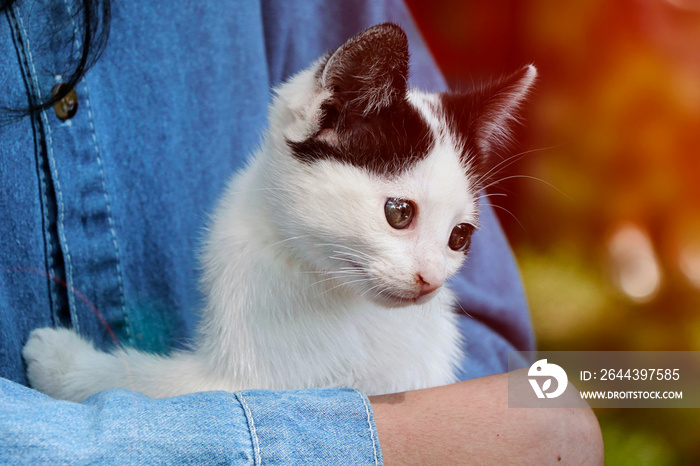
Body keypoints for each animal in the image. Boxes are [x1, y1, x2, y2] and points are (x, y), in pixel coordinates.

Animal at [23, 23, 536, 398]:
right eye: (399, 212)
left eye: (459, 237)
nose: (430, 280)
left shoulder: (263, 381)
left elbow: (152, 388)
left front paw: (61, 360)